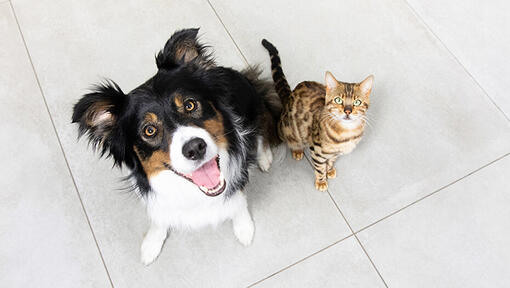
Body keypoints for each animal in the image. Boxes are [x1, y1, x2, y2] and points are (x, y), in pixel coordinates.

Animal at [71, 29, 278, 266]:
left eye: (190, 104)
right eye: (149, 130)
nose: (195, 148)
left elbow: (238, 201)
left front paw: (244, 228)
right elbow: (159, 217)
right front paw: (151, 244)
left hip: (253, 102)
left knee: (263, 125)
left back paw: (264, 157)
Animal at [260, 38, 372, 191]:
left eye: (357, 102)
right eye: (338, 100)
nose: (347, 111)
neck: (346, 134)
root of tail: (289, 96)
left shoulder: (335, 153)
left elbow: (331, 161)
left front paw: (330, 170)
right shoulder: (317, 149)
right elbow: (319, 167)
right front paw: (321, 181)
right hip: (287, 130)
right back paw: (297, 150)